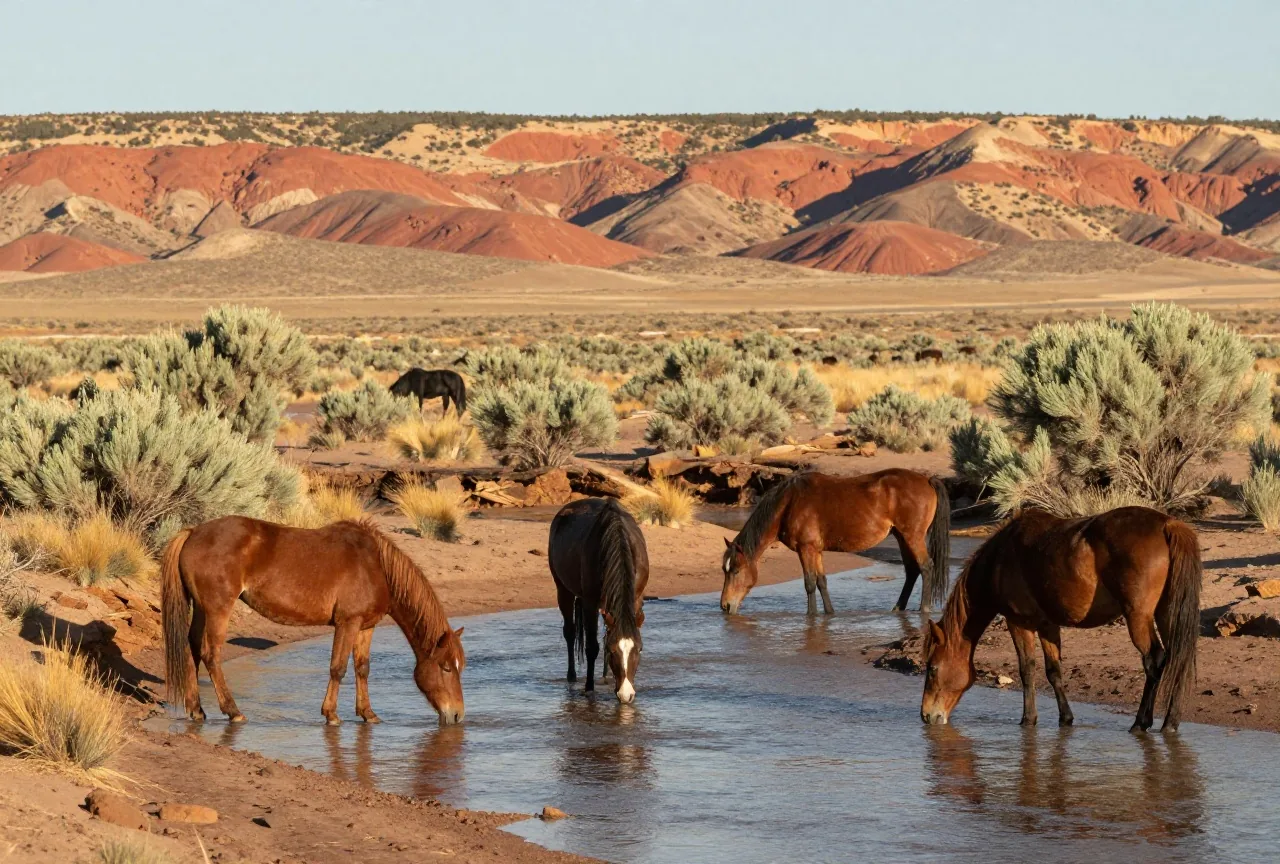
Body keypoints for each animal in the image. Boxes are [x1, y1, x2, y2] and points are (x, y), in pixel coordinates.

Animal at [161, 517, 466, 726]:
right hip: (218, 609)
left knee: (191, 648)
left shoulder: (366, 626)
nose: (457, 715)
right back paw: (233, 711)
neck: (376, 566)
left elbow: (362, 669)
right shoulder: (347, 622)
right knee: (210, 653)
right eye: (446, 667)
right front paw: (331, 714)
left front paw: (368, 713)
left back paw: (196, 710)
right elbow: (338, 668)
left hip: (202, 608)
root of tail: (193, 533)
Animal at [548, 497, 649, 703]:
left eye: (639, 649)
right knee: (570, 632)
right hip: (563, 589)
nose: (626, 695)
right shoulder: (590, 602)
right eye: (612, 651)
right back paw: (572, 676)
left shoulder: (635, 598)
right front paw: (589, 688)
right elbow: (592, 646)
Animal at [720, 469, 950, 615]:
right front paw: (829, 613)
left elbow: (809, 583)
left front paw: (811, 615)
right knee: (912, 570)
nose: (725, 606)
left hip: (913, 536)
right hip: (902, 536)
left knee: (925, 566)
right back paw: (898, 608)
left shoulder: (806, 548)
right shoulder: (816, 550)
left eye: (736, 571)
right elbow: (822, 581)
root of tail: (927, 479)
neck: (789, 503)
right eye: (725, 570)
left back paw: (924, 609)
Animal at [920, 506, 1201, 732]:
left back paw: (1140, 722)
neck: (1000, 558)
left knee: (1154, 661)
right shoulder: (1048, 625)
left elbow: (1026, 668)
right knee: (1178, 658)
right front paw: (1065, 718)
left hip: (1138, 617)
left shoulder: (1019, 622)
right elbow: (1053, 670)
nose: (926, 716)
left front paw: (1028, 719)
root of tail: (1167, 524)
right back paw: (1170, 723)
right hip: (1167, 613)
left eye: (932, 668)